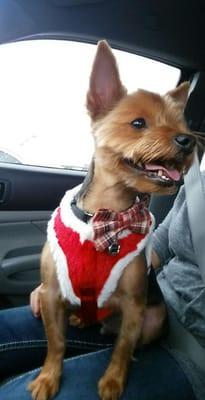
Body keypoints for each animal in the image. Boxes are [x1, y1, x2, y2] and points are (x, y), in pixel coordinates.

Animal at [28, 41, 195, 400]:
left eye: (183, 126)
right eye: (138, 123)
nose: (188, 140)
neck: (106, 218)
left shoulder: (134, 304)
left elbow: (121, 349)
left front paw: (113, 382)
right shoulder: (51, 294)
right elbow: (55, 342)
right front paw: (48, 377)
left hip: (153, 317)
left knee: (127, 339)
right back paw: (81, 320)